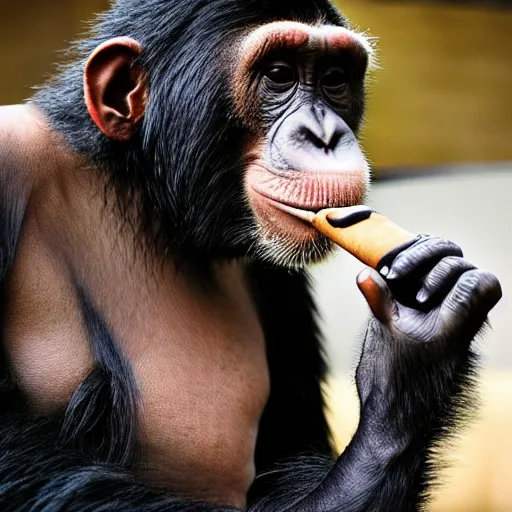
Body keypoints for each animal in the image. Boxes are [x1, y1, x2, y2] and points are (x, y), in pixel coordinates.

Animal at [0, 0, 500, 510]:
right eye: (279, 74)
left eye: (334, 79)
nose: (325, 134)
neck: (143, 195)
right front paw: (409, 358)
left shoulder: (276, 275)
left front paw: (427, 328)